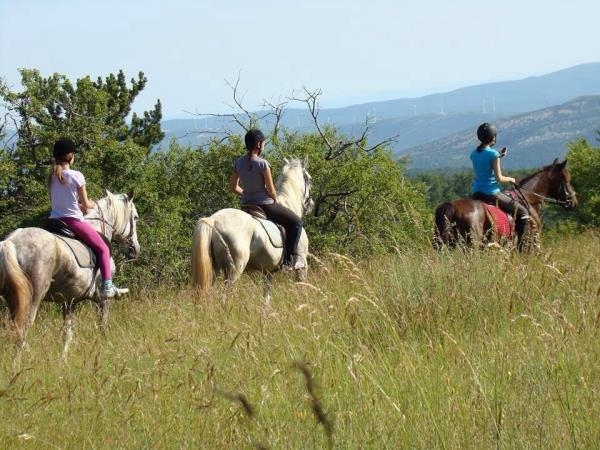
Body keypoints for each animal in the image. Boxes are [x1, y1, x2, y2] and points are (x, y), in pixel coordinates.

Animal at [0, 192, 139, 356]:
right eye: (135, 217)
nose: (135, 249)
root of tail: (11, 242)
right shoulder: (102, 299)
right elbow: (102, 326)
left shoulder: (69, 301)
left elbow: (67, 334)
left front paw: (63, 358)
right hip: (34, 296)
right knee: (23, 328)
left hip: (13, 297)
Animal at [192, 156, 314, 300]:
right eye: (309, 178)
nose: (311, 205)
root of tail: (214, 219)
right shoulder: (302, 267)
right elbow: (302, 288)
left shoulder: (268, 272)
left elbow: (266, 298)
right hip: (235, 268)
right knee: (226, 294)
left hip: (214, 268)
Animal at [434, 159, 580, 251]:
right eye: (566, 180)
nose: (574, 202)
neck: (529, 197)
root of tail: (451, 206)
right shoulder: (530, 242)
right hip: (471, 244)